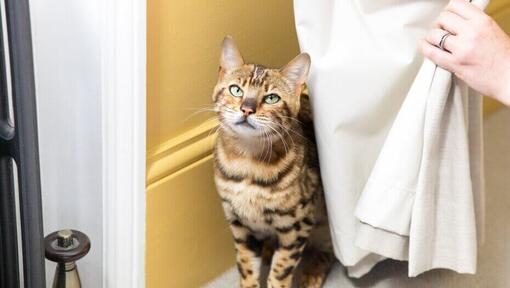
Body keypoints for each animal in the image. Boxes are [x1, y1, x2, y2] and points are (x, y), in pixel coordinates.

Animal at [212, 36, 334, 288]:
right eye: (236, 89)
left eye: (272, 98)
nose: (246, 109)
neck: (247, 161)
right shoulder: (238, 223)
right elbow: (246, 265)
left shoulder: (297, 225)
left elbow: (281, 271)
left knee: (329, 251)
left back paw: (312, 272)